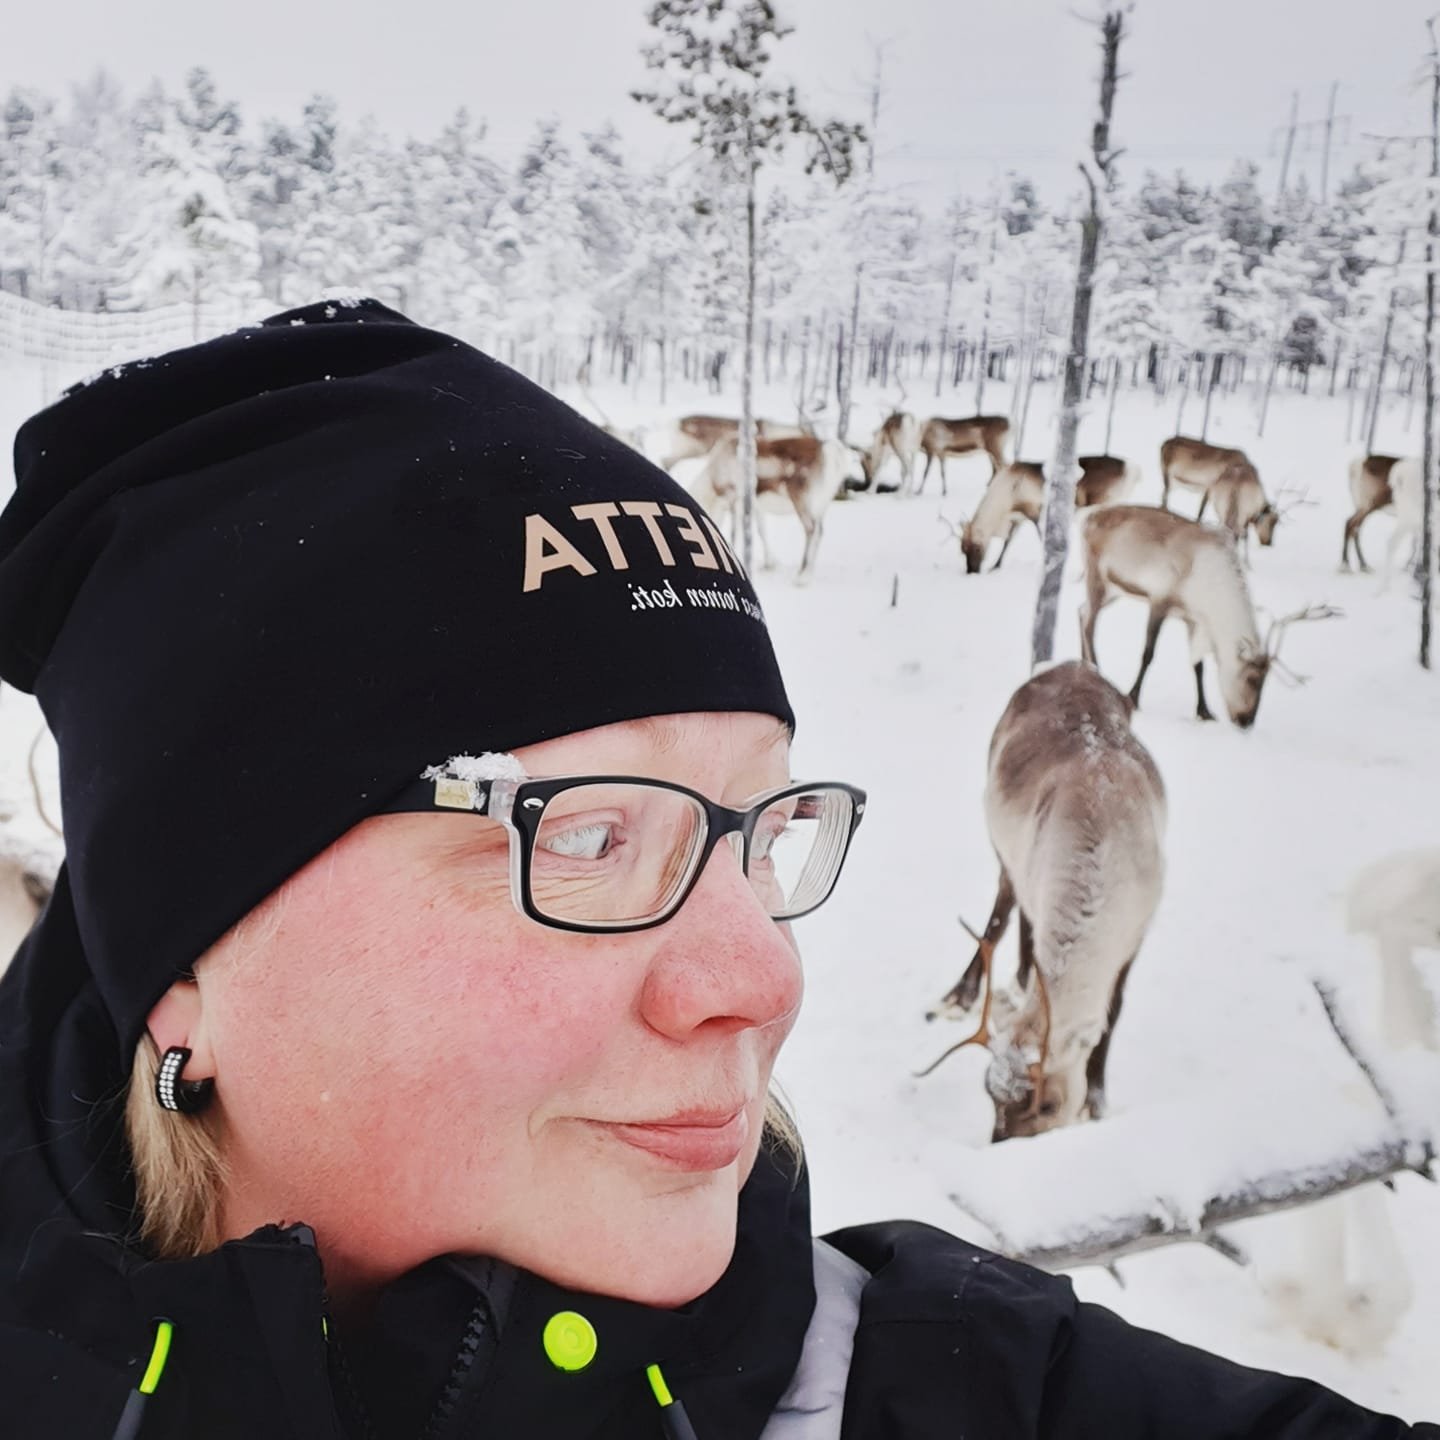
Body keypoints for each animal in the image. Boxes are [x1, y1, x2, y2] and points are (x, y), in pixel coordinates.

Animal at [689, 433, 849, 584]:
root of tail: (830, 452)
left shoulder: (735, 499)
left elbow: (735, 532)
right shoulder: (756, 506)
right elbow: (762, 531)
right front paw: (770, 564)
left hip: (802, 499)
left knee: (811, 530)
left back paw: (802, 576)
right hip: (821, 505)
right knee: (820, 531)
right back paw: (808, 571)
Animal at [922, 661, 1166, 1142]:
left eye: (1047, 1105)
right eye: (991, 1099)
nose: (999, 1145)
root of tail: (1072, 664)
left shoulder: (1139, 931)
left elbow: (1113, 1013)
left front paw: (1096, 1101)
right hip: (1007, 851)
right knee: (1001, 918)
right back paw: (963, 994)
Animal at [1079, 505, 1339, 727]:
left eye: (1266, 681)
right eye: (1252, 679)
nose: (1246, 721)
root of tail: (1088, 519)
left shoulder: (1192, 618)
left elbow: (1198, 665)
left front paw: (1204, 712)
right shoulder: (1160, 599)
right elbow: (1148, 653)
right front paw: (1133, 697)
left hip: (1113, 591)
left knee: (1081, 612)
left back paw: (1084, 665)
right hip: (1097, 577)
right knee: (1090, 621)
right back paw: (1095, 668)